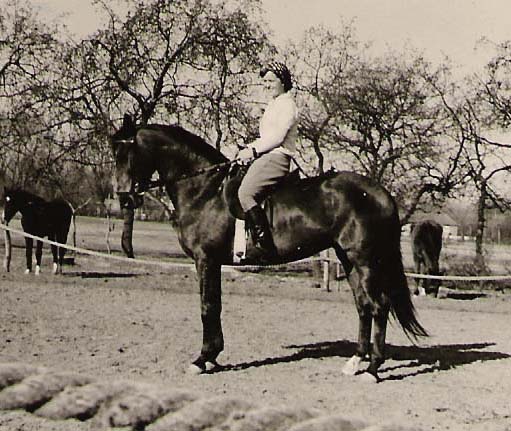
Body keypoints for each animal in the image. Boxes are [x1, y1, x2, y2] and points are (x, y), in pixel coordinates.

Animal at [111, 114, 428, 382]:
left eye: (125, 154)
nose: (124, 198)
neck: (204, 190)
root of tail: (381, 193)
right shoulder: (213, 263)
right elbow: (215, 306)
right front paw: (212, 357)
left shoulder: (206, 260)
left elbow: (208, 307)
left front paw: (202, 359)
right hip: (348, 260)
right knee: (363, 306)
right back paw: (355, 362)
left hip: (364, 261)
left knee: (378, 306)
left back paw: (373, 369)